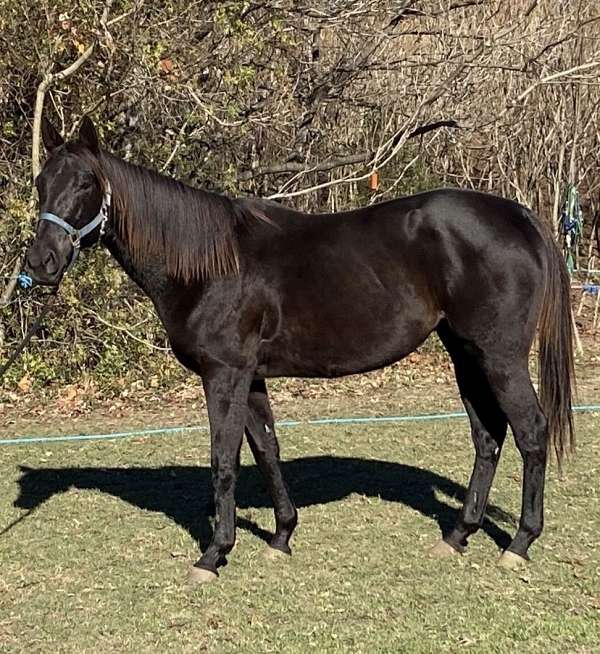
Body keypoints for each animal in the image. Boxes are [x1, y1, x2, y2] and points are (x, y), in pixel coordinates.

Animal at [24, 118, 576, 584]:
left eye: (86, 183)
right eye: (40, 183)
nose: (41, 262)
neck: (210, 264)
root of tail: (519, 216)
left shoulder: (223, 374)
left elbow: (223, 459)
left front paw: (213, 555)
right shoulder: (251, 376)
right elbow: (266, 449)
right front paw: (282, 535)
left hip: (500, 357)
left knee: (531, 432)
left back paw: (520, 542)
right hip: (465, 354)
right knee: (487, 436)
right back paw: (459, 534)